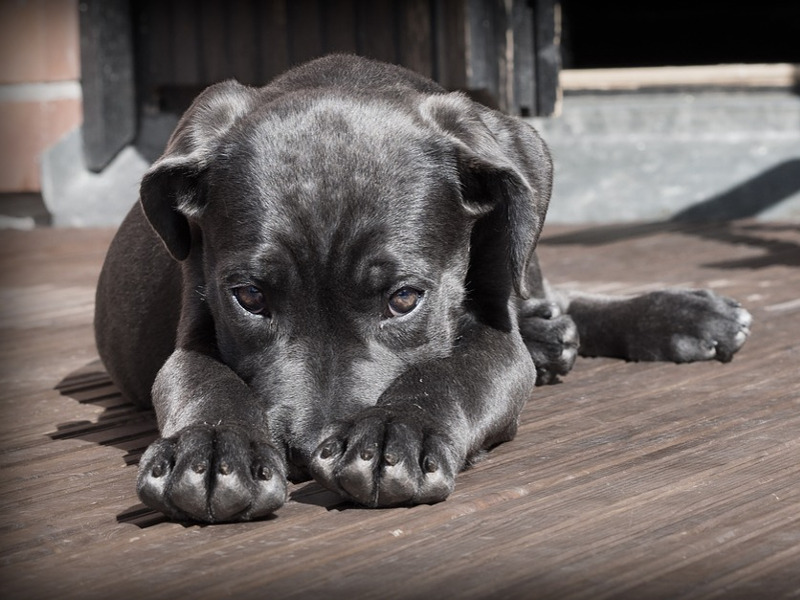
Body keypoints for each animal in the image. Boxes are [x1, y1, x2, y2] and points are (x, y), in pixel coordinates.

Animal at [94, 57, 752, 524]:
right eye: (250, 298)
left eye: (404, 299)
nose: (306, 452)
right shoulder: (194, 325)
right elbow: (203, 379)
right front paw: (211, 449)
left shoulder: (494, 336)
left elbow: (451, 371)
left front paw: (394, 432)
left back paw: (679, 316)